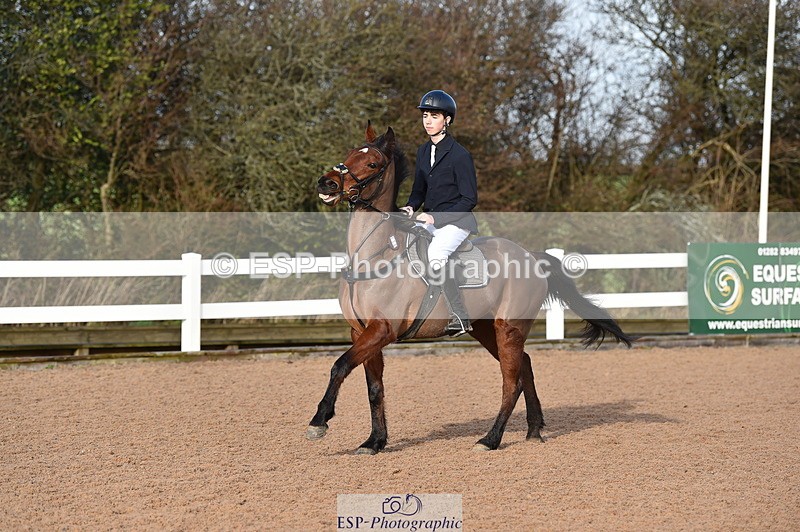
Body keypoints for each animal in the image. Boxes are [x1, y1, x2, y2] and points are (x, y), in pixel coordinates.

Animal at [310, 122, 633, 453]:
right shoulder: (361, 332)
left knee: (511, 382)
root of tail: (530, 256)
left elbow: (340, 365)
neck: (374, 257)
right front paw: (374, 441)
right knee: (525, 366)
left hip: (509, 328)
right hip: (487, 329)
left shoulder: (382, 330)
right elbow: (374, 387)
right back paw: (534, 430)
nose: (327, 183)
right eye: (349, 153)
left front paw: (320, 421)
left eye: (372, 163)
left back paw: (490, 439)